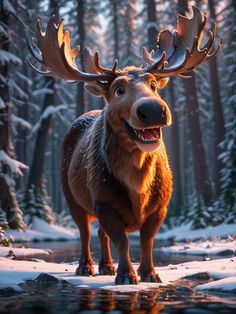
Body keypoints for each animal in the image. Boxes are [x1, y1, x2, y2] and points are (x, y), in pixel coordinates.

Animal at [28, 6, 221, 284]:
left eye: (153, 84)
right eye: (119, 89)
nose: (154, 110)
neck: (138, 184)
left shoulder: (161, 206)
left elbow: (146, 241)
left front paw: (149, 274)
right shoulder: (104, 202)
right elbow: (122, 241)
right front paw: (127, 276)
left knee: (99, 233)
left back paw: (106, 266)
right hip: (71, 196)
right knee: (85, 232)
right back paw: (86, 267)